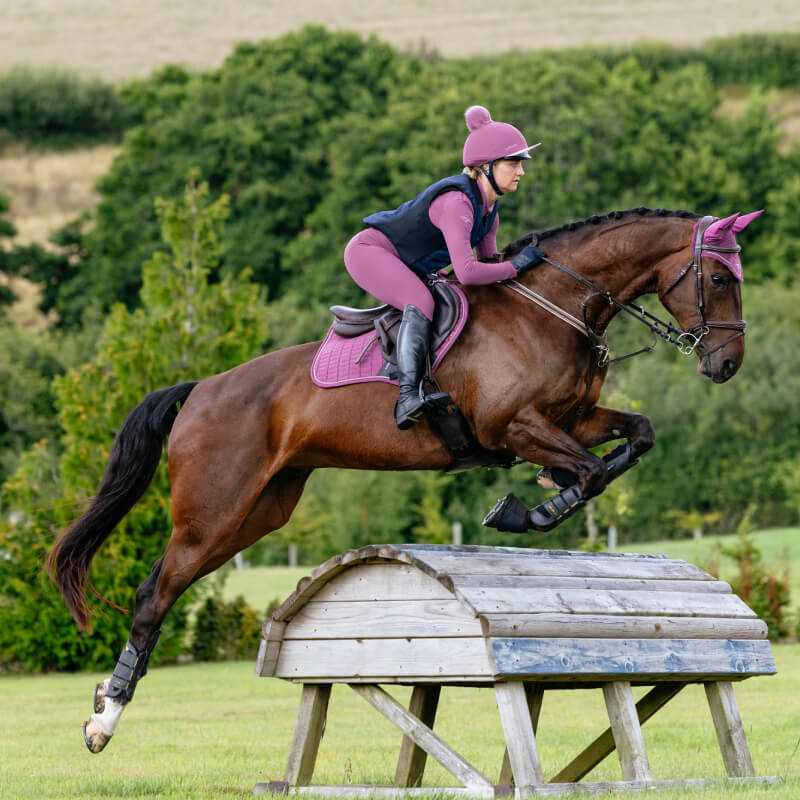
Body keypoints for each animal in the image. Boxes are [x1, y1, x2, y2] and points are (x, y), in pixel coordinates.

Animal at [47, 206, 761, 753]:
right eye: (717, 277)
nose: (726, 364)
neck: (552, 310)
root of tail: (200, 389)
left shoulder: (572, 419)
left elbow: (634, 437)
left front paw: (541, 493)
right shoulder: (512, 425)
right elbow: (587, 475)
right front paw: (525, 509)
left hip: (260, 510)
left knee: (167, 585)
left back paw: (105, 708)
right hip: (213, 511)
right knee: (153, 595)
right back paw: (104, 720)